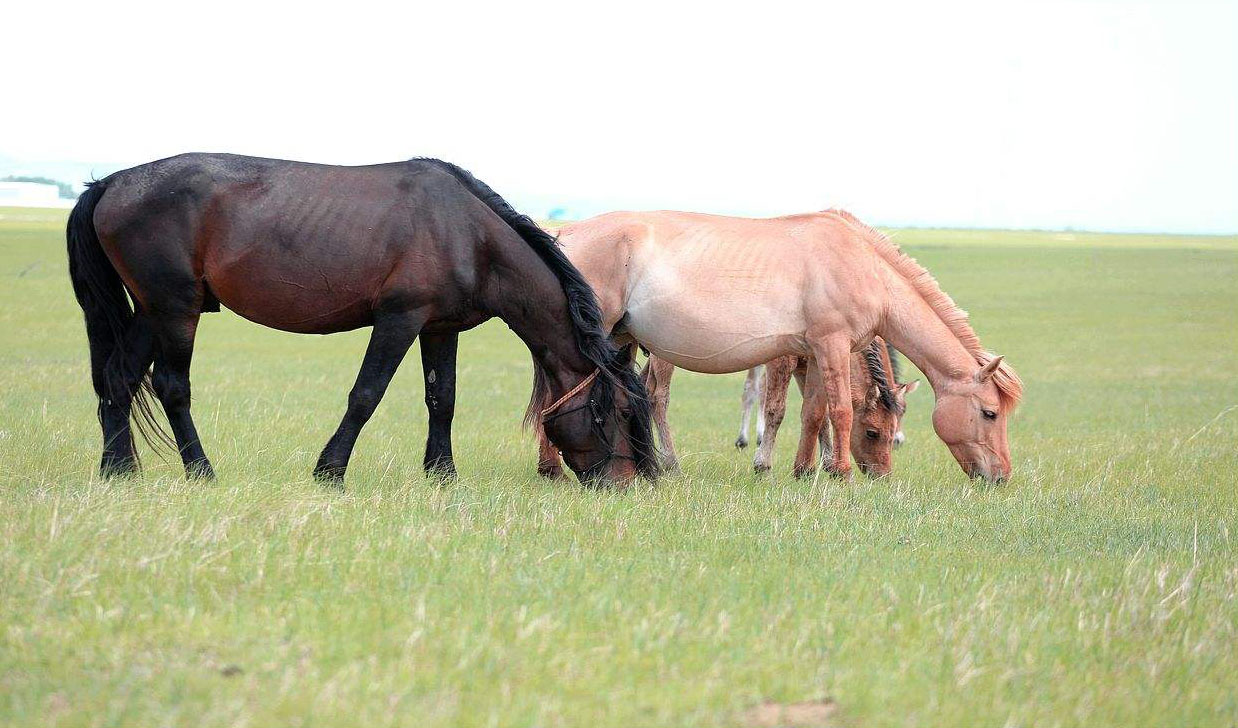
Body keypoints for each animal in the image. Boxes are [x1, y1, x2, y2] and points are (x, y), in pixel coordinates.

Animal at [66, 153, 658, 486]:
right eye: (615, 412)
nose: (626, 483)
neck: (468, 233)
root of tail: (111, 183)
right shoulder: (399, 319)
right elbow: (366, 395)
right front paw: (330, 472)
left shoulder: (439, 328)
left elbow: (442, 399)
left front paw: (442, 475)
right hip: (175, 311)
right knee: (171, 386)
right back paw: (200, 471)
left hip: (151, 312)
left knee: (117, 379)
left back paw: (119, 470)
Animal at [748, 339, 919, 478]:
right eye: (871, 433)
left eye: (903, 413)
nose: (882, 476)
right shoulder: (782, 359)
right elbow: (776, 410)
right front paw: (762, 466)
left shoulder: (808, 367)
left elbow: (818, 416)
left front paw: (825, 466)